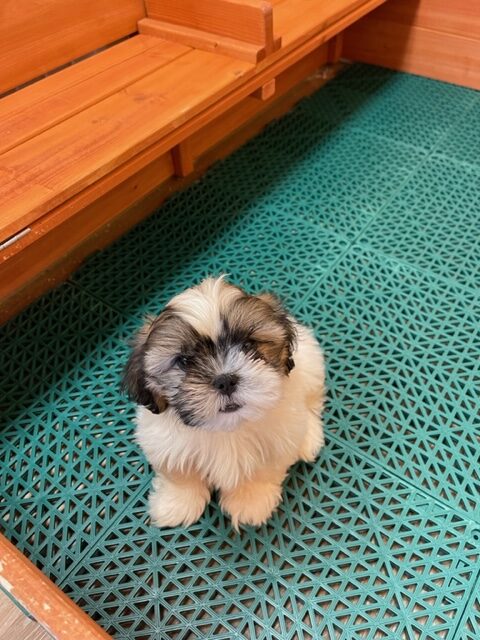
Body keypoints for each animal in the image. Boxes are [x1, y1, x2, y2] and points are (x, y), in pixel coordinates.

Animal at [123, 278, 326, 528]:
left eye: (248, 346)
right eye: (185, 361)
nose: (225, 380)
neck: (226, 428)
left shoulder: (277, 444)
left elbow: (262, 471)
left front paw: (251, 501)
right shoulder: (164, 444)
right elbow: (180, 475)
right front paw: (177, 504)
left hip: (310, 364)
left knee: (311, 401)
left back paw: (309, 438)